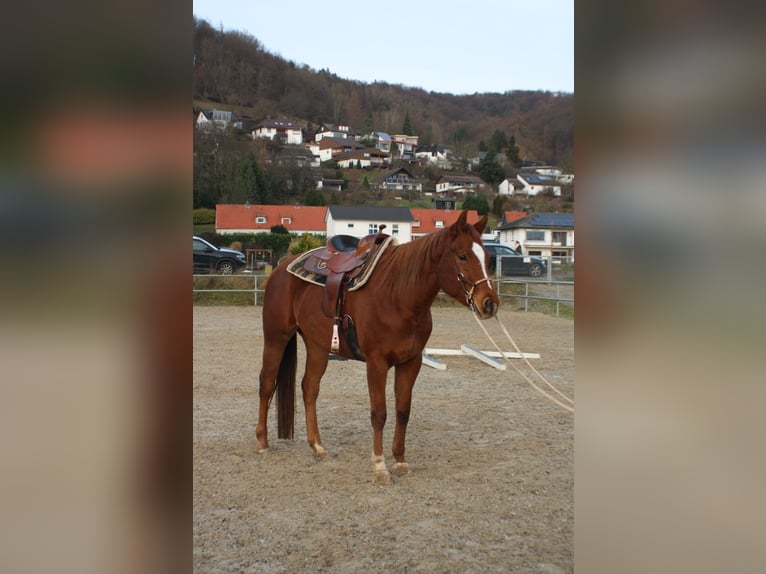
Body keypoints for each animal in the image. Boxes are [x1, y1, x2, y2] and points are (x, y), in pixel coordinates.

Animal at [255, 210, 500, 483]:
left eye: (487, 256)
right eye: (462, 255)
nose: (489, 303)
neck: (399, 296)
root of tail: (281, 267)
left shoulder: (411, 362)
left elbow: (403, 410)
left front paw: (400, 460)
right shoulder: (376, 364)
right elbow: (379, 413)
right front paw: (380, 466)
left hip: (317, 346)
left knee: (309, 388)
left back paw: (317, 446)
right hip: (276, 337)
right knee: (267, 384)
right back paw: (263, 443)